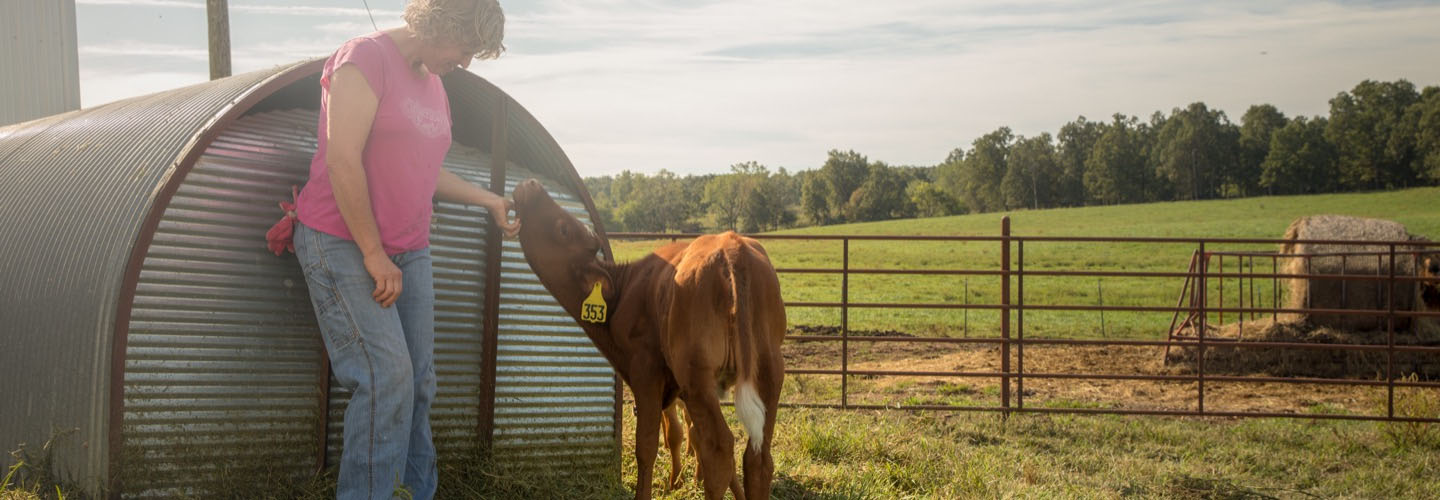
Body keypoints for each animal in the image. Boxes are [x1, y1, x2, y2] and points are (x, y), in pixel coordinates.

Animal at [515, 180, 789, 500]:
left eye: (563, 228)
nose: (531, 184)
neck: (625, 291)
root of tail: (731, 248)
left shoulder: (645, 372)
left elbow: (646, 445)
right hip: (769, 368)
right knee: (757, 457)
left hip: (697, 374)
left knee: (719, 448)